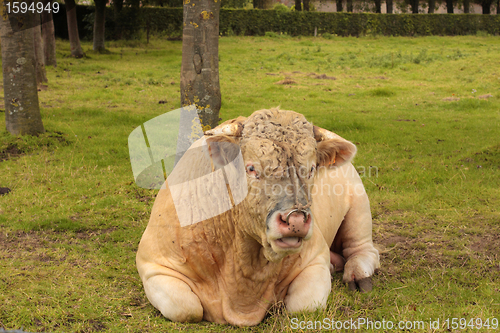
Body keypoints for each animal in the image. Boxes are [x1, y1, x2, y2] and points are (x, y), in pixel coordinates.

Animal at [136, 107, 378, 326]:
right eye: (251, 168)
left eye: (311, 169)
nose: (296, 220)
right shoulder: (153, 264)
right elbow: (185, 308)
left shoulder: (315, 258)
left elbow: (304, 306)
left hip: (359, 206)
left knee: (364, 249)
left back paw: (358, 274)